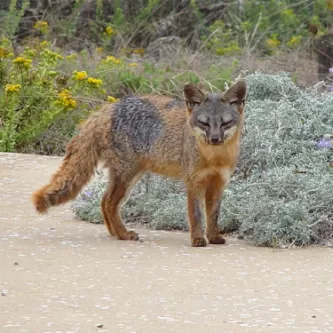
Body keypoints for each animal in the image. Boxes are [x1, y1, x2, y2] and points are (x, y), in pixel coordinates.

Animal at [31, 80, 246, 246]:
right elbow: (197, 215)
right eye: (204, 123)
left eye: (225, 123)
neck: (214, 157)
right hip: (127, 176)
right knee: (109, 202)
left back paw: (115, 232)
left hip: (129, 177)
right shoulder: (194, 182)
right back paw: (123, 234)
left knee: (103, 201)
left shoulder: (218, 183)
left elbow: (213, 214)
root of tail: (107, 108)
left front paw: (213, 237)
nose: (215, 139)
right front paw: (198, 239)